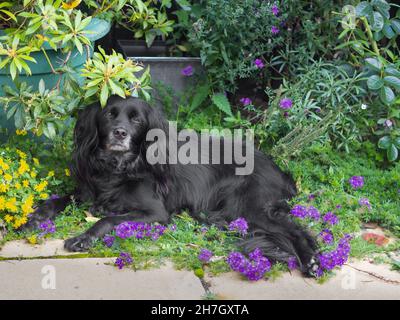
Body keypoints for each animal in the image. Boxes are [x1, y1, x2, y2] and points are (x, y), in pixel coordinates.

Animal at [25, 95, 318, 276]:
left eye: (136, 119)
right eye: (109, 115)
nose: (120, 133)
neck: (121, 168)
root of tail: (280, 170)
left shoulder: (156, 212)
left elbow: (108, 220)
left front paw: (83, 238)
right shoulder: (88, 192)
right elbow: (58, 200)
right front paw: (34, 217)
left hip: (248, 207)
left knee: (297, 231)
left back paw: (312, 263)